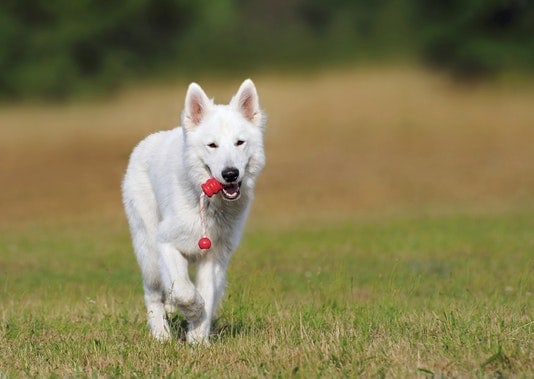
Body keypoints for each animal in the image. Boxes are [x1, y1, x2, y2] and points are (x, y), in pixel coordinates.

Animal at [124, 80, 268, 344]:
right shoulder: (166, 244)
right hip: (148, 252)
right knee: (153, 294)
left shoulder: (213, 257)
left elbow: (207, 295)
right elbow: (185, 291)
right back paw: (161, 335)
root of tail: (146, 142)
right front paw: (193, 312)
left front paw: (198, 339)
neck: (209, 203)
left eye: (239, 143)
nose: (230, 174)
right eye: (212, 145)